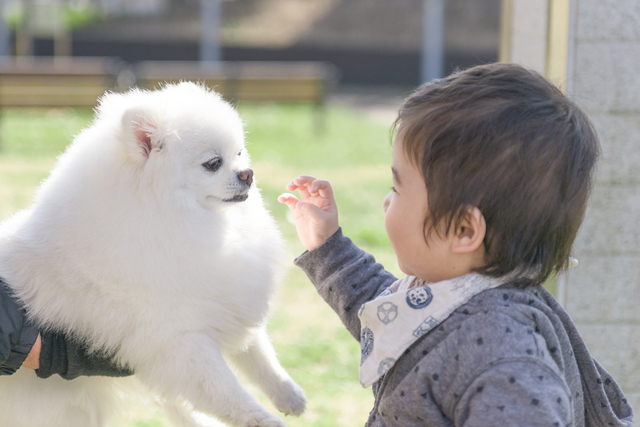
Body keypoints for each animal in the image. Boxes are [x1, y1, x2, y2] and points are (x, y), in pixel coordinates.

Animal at [0, 82, 308, 426]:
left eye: (239, 153)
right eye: (213, 163)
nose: (248, 174)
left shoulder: (225, 299)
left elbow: (259, 356)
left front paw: (289, 395)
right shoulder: (178, 341)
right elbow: (223, 389)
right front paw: (263, 419)